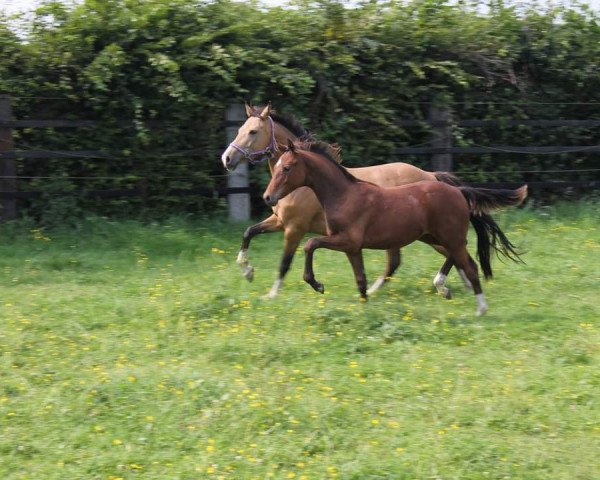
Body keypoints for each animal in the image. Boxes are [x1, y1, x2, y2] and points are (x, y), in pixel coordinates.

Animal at [220, 104, 464, 296]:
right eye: (240, 129)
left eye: (253, 132)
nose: (227, 158)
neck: (305, 183)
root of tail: (431, 175)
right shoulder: (280, 221)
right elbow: (249, 232)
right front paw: (247, 271)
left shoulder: (295, 228)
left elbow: (284, 263)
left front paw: (271, 295)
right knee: (400, 262)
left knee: (448, 251)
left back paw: (443, 285)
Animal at [262, 140, 524, 316]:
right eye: (278, 166)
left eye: (287, 168)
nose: (267, 197)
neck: (344, 196)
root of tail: (459, 191)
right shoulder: (352, 248)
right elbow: (360, 279)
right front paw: (364, 307)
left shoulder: (347, 240)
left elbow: (310, 244)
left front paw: (317, 285)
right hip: (434, 236)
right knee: (461, 258)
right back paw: (445, 288)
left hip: (449, 237)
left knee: (470, 265)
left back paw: (479, 308)